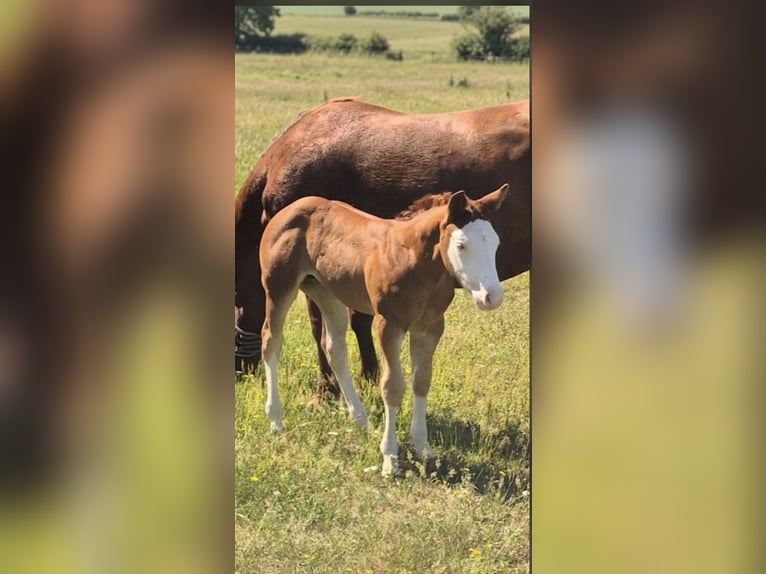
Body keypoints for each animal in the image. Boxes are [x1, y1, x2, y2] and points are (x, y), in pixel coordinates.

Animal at [259, 184, 509, 477]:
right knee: (271, 341)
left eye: (495, 243)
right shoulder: (389, 324)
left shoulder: (431, 326)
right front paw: (390, 459)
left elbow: (421, 381)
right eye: (461, 245)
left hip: (326, 290)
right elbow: (392, 386)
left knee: (334, 349)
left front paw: (423, 448)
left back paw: (360, 419)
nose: (491, 298)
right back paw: (276, 420)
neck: (415, 263)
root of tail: (289, 209)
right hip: (278, 287)